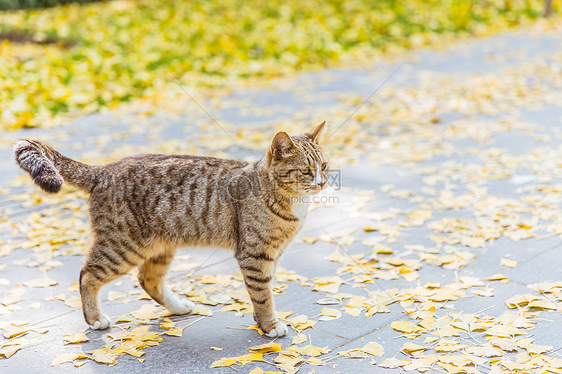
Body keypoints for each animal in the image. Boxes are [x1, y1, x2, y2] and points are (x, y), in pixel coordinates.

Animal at [12, 121, 328, 338]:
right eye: (305, 171)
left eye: (324, 166)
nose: (323, 182)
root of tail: (104, 170)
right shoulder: (255, 256)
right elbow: (263, 296)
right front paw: (270, 325)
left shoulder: (270, 256)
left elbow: (262, 292)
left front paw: (261, 321)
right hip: (123, 247)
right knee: (87, 275)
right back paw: (95, 318)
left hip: (160, 246)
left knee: (147, 279)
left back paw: (177, 306)